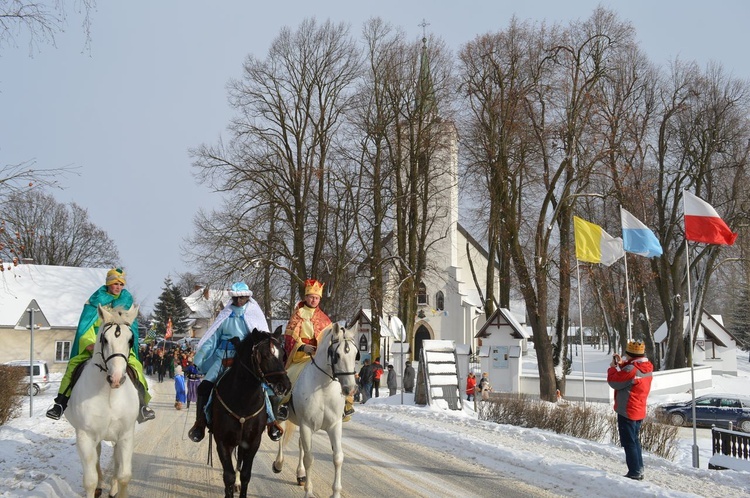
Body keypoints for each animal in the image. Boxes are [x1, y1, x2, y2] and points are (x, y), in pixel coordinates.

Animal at [66, 304, 141, 498]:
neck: (109, 394)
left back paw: (112, 487)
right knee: (97, 458)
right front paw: (97, 486)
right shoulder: (85, 437)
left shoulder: (126, 435)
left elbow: (124, 475)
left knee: (115, 459)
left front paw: (117, 487)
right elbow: (90, 480)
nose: (116, 379)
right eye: (105, 340)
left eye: (130, 340)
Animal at [214, 328, 294, 496]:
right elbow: (228, 476)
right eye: (264, 355)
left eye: (282, 354)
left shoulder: (252, 442)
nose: (284, 386)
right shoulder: (222, 441)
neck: (243, 401)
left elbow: (245, 474)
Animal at [274, 322, 362, 498]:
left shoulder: (334, 426)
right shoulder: (307, 426)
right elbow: (309, 459)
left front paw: (335, 493)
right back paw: (279, 464)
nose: (350, 389)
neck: (323, 388)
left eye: (356, 354)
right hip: (284, 417)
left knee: (300, 445)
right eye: (337, 355)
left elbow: (338, 457)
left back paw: (300, 475)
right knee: (281, 436)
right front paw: (308, 492)